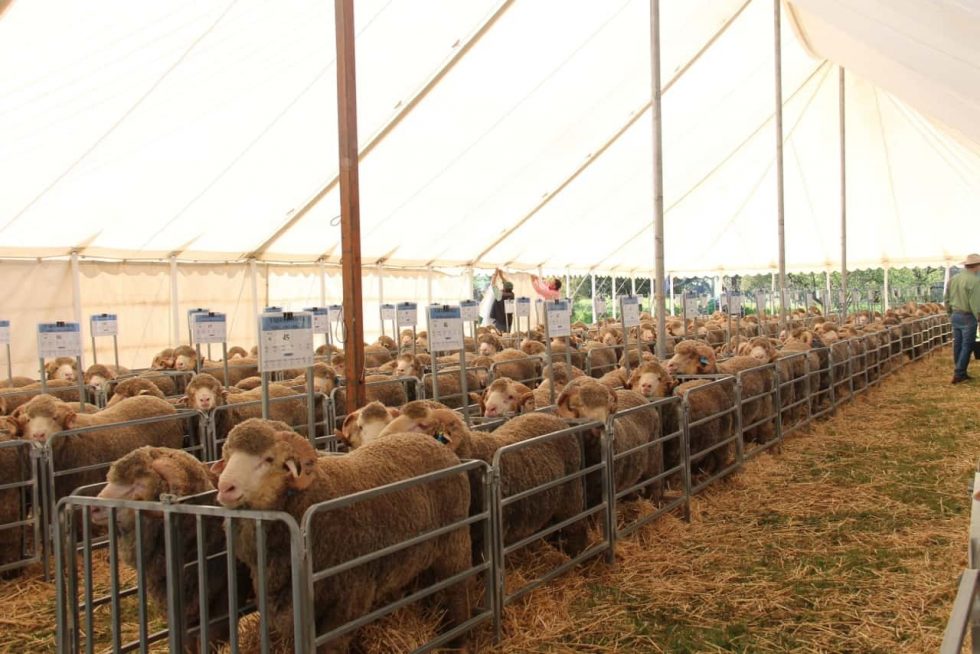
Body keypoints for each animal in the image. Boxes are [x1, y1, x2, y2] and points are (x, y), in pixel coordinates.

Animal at [212, 422, 472, 652]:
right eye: (227, 455)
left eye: (268, 459)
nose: (225, 487)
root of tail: (436, 444)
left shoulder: (349, 598)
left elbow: (332, 646)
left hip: (455, 542)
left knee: (458, 590)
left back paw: (458, 641)